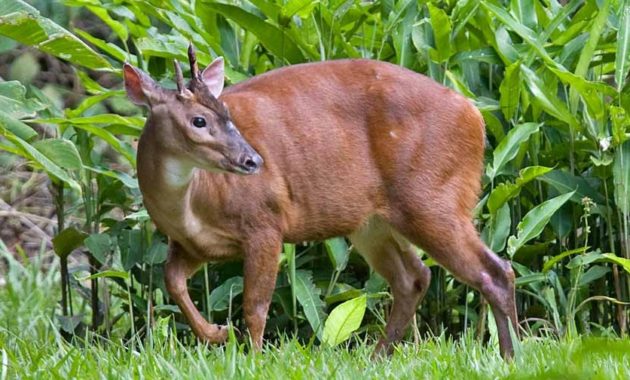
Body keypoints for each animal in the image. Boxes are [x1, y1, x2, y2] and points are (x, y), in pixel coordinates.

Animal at [123, 46, 520, 358]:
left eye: (227, 114)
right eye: (199, 120)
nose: (253, 160)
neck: (191, 205)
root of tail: (475, 114)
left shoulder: (265, 222)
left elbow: (255, 305)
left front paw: (252, 357)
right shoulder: (192, 244)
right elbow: (172, 281)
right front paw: (217, 333)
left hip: (434, 198)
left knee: (495, 270)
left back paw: (511, 353)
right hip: (372, 223)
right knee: (414, 277)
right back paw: (378, 356)